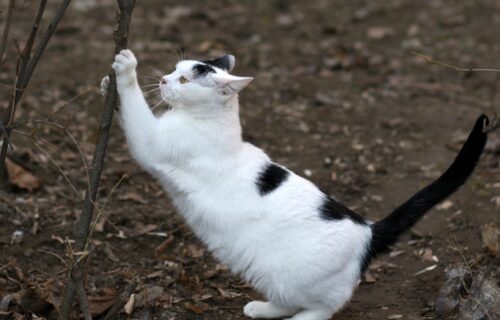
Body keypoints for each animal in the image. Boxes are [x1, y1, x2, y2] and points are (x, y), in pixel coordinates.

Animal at [100, 50, 488, 320]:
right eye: (174, 71)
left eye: (184, 81)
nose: (165, 80)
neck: (211, 122)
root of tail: (369, 230)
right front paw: (107, 86)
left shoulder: (150, 145)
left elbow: (136, 111)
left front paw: (125, 69)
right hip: (273, 277)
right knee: (290, 301)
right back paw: (261, 309)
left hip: (296, 277)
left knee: (324, 308)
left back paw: (297, 317)